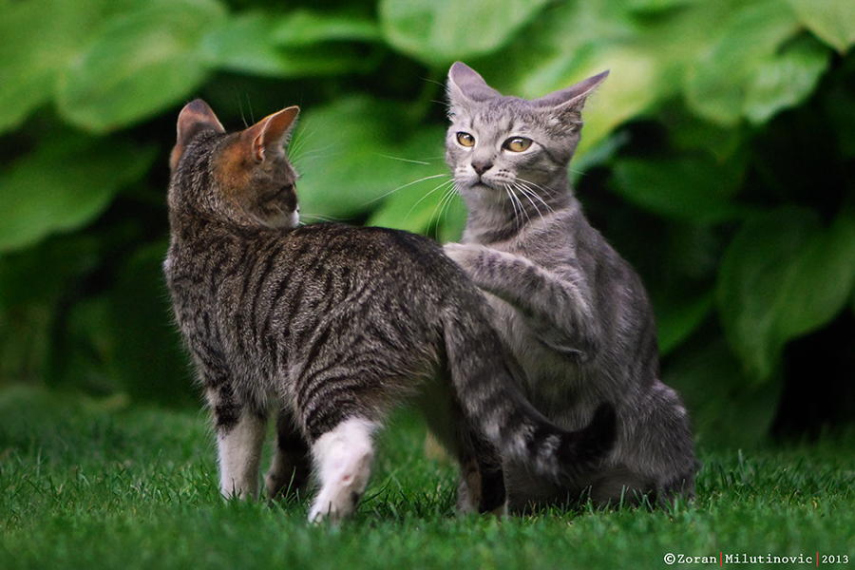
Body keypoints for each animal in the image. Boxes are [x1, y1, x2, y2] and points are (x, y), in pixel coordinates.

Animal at [164, 97, 616, 520]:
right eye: (290, 187)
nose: (298, 210)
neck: (208, 221)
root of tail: (440, 279)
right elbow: (285, 452)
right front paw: (270, 497)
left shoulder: (226, 375)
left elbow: (237, 455)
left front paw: (236, 507)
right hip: (452, 390)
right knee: (486, 456)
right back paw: (479, 523)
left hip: (329, 376)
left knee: (355, 452)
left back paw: (324, 517)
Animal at [444, 63, 700, 510]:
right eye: (465, 138)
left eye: (518, 143)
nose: (479, 164)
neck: (503, 231)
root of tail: (573, 492)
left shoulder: (579, 316)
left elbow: (528, 275)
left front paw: (463, 254)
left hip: (660, 407)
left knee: (676, 479)